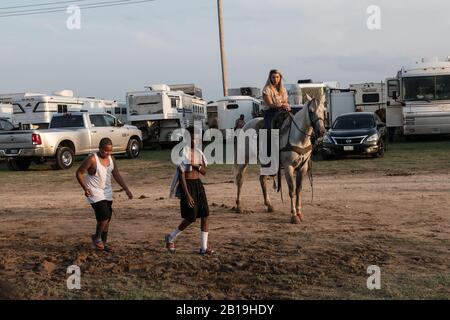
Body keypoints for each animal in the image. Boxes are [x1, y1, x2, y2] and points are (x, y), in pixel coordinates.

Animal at [234, 96, 326, 224]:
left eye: (323, 110)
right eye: (311, 111)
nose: (321, 131)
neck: (298, 138)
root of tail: (245, 125)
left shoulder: (302, 168)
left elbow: (298, 189)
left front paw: (299, 213)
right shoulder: (288, 167)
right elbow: (291, 190)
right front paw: (294, 215)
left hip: (265, 162)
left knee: (262, 179)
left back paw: (269, 205)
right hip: (245, 158)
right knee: (240, 178)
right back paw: (239, 206)